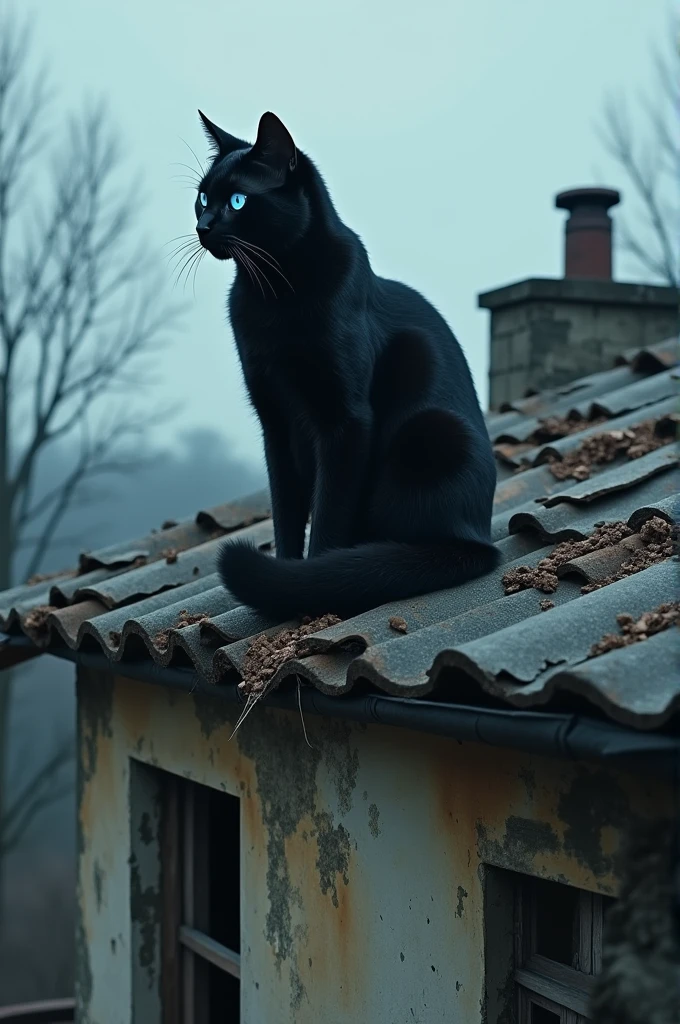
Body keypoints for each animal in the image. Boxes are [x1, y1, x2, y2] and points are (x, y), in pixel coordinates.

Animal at [193, 110, 497, 614]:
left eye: (237, 200)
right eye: (201, 198)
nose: (203, 225)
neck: (273, 294)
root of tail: (480, 540)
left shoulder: (346, 422)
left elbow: (329, 512)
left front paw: (308, 584)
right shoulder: (274, 422)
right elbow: (286, 512)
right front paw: (288, 575)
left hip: (436, 433)